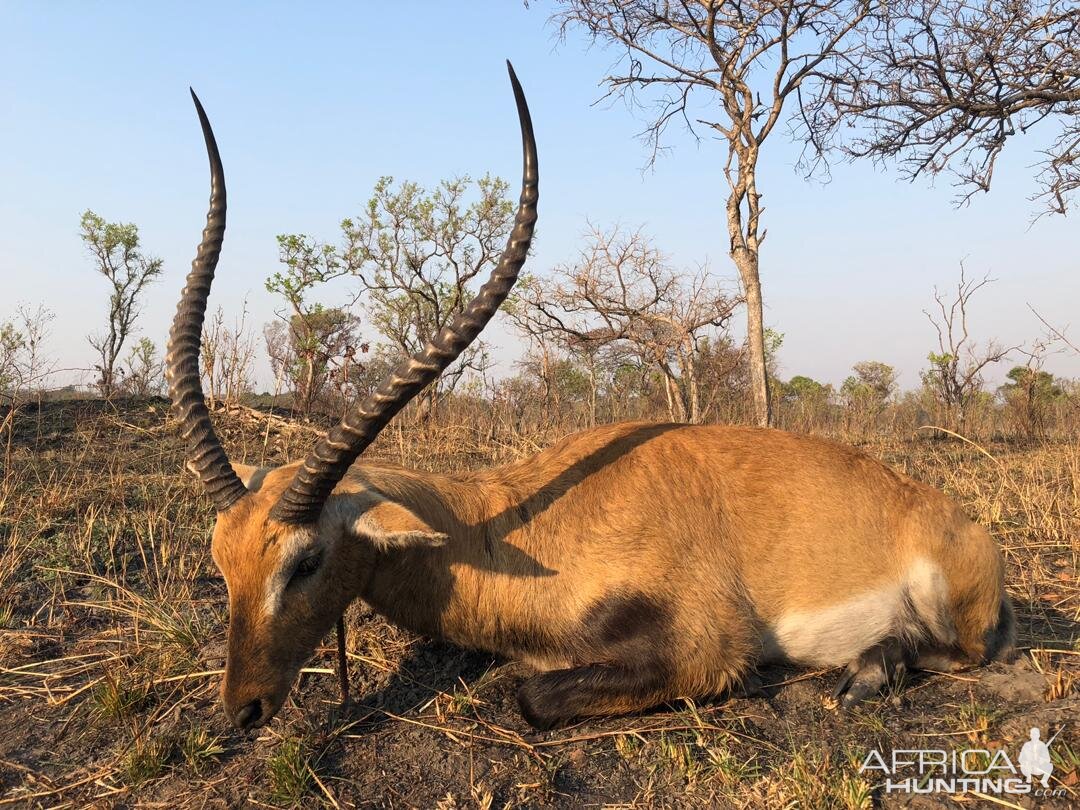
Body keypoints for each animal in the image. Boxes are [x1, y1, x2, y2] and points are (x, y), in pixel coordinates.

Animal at [162, 65, 1010, 734]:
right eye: (222, 558)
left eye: (305, 561)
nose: (242, 709)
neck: (502, 526)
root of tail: (956, 520)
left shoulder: (703, 649)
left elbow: (530, 696)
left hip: (951, 611)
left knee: (963, 653)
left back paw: (868, 673)